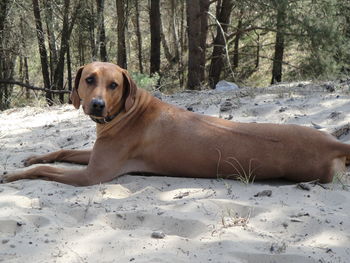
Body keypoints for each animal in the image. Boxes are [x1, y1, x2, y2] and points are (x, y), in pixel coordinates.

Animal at [2, 61, 350, 186]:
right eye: (89, 79)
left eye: (113, 85)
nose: (97, 105)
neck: (129, 111)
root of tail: (334, 142)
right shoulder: (96, 154)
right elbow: (60, 151)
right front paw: (34, 156)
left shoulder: (93, 175)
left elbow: (43, 171)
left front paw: (14, 174)